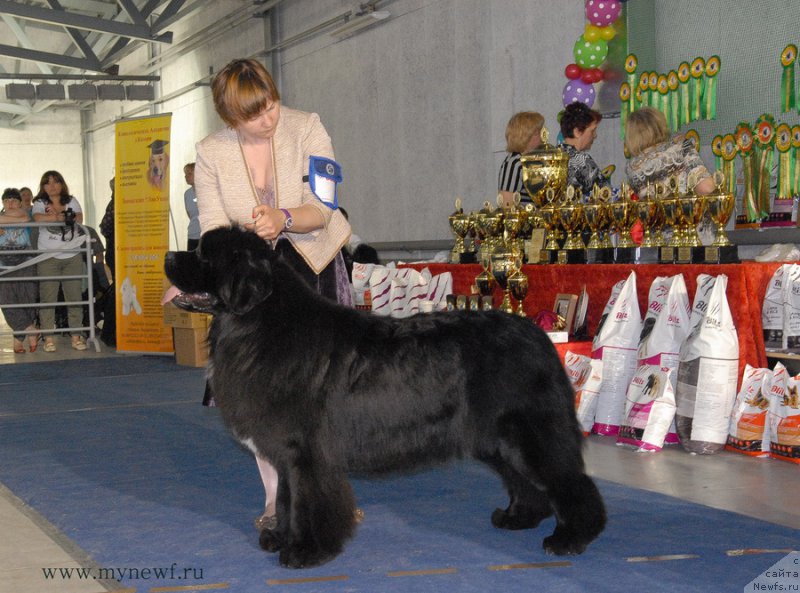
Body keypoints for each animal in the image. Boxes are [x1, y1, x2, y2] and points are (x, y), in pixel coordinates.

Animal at [167, 225, 608, 564]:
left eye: (204, 254)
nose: (169, 255)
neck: (260, 324)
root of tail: (539, 335)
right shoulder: (287, 453)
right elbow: (288, 500)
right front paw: (280, 537)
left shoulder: (305, 452)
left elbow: (307, 502)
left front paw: (306, 551)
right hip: (495, 437)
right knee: (526, 482)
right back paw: (517, 517)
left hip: (530, 432)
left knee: (569, 481)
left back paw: (570, 538)